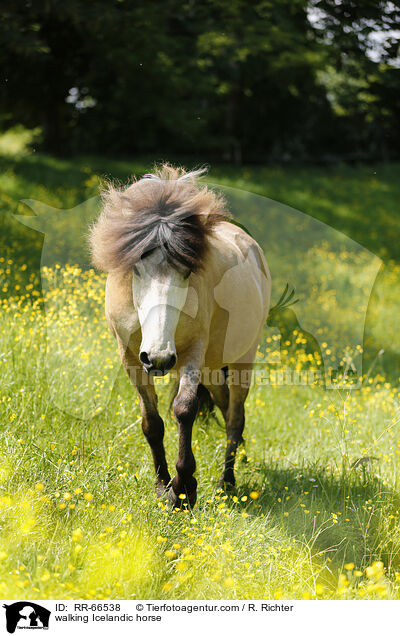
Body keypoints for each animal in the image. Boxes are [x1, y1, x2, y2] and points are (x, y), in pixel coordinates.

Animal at [90, 164, 272, 506]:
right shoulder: (130, 357)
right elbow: (152, 422)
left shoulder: (193, 352)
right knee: (224, 404)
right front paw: (162, 485)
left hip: (242, 359)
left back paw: (227, 482)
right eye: (137, 268)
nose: (159, 358)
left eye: (187, 271)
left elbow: (185, 409)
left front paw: (184, 488)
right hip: (213, 368)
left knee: (235, 416)